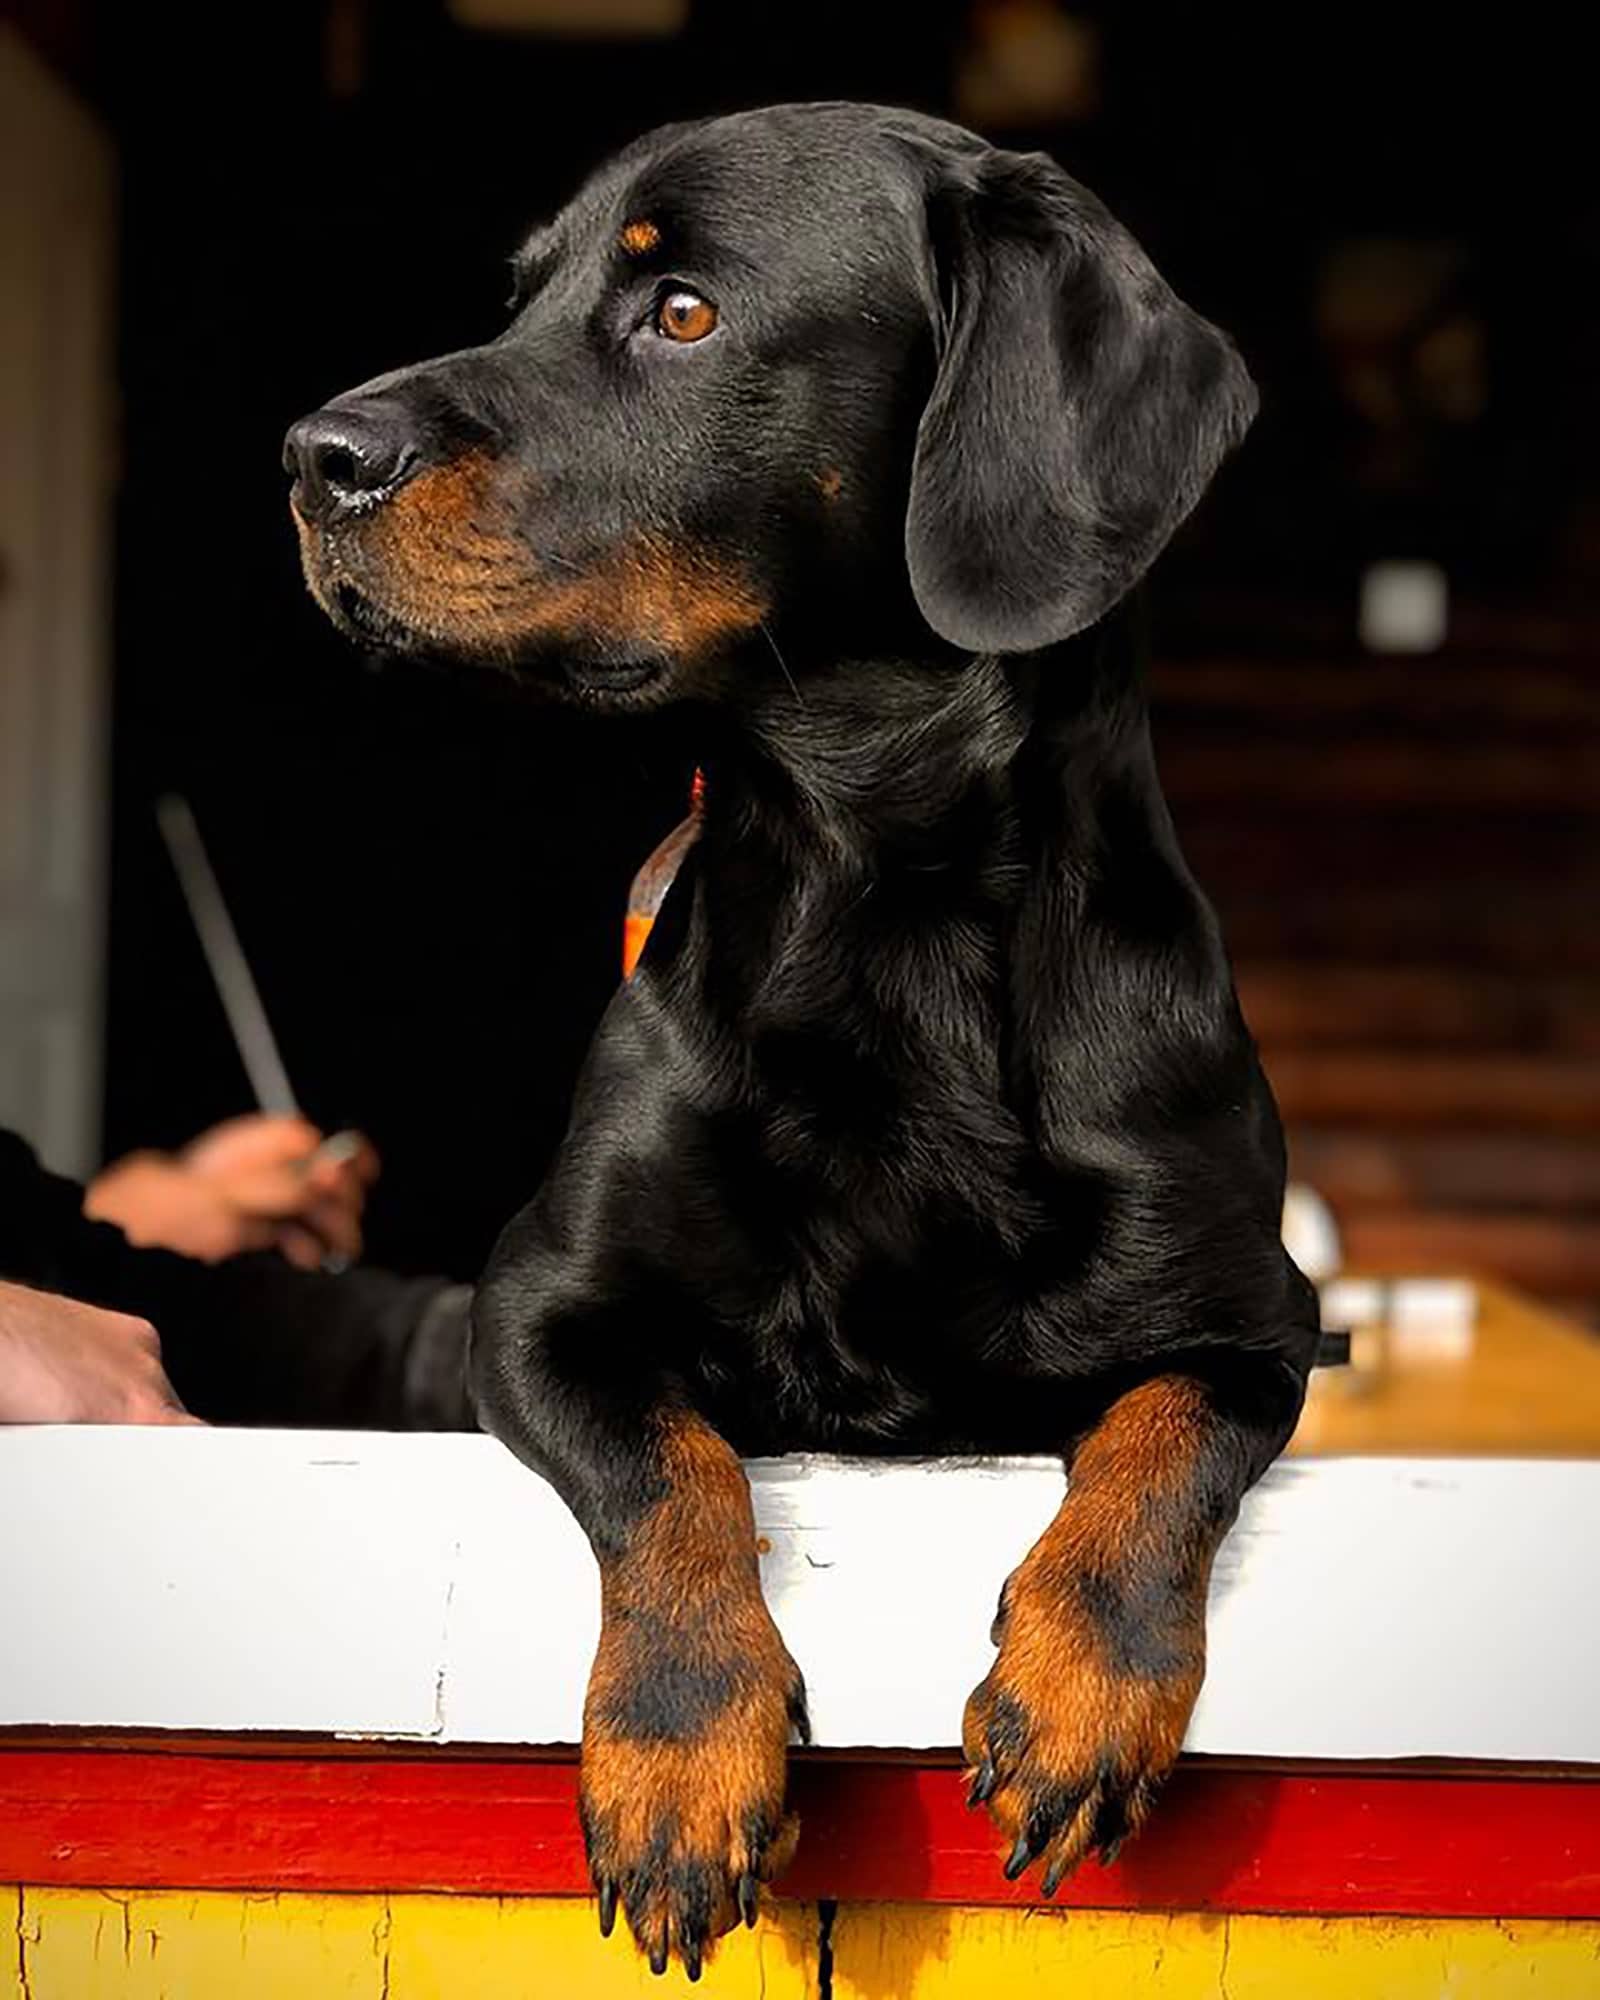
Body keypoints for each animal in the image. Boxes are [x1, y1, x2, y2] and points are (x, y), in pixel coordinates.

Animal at [284, 101, 1312, 1976]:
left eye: (682, 311)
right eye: (525, 292)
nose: (312, 456)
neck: (882, 912)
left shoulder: (1262, 1320)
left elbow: (1159, 1439)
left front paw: (1079, 1697)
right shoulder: (538, 1303)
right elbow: (674, 1472)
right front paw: (682, 1754)